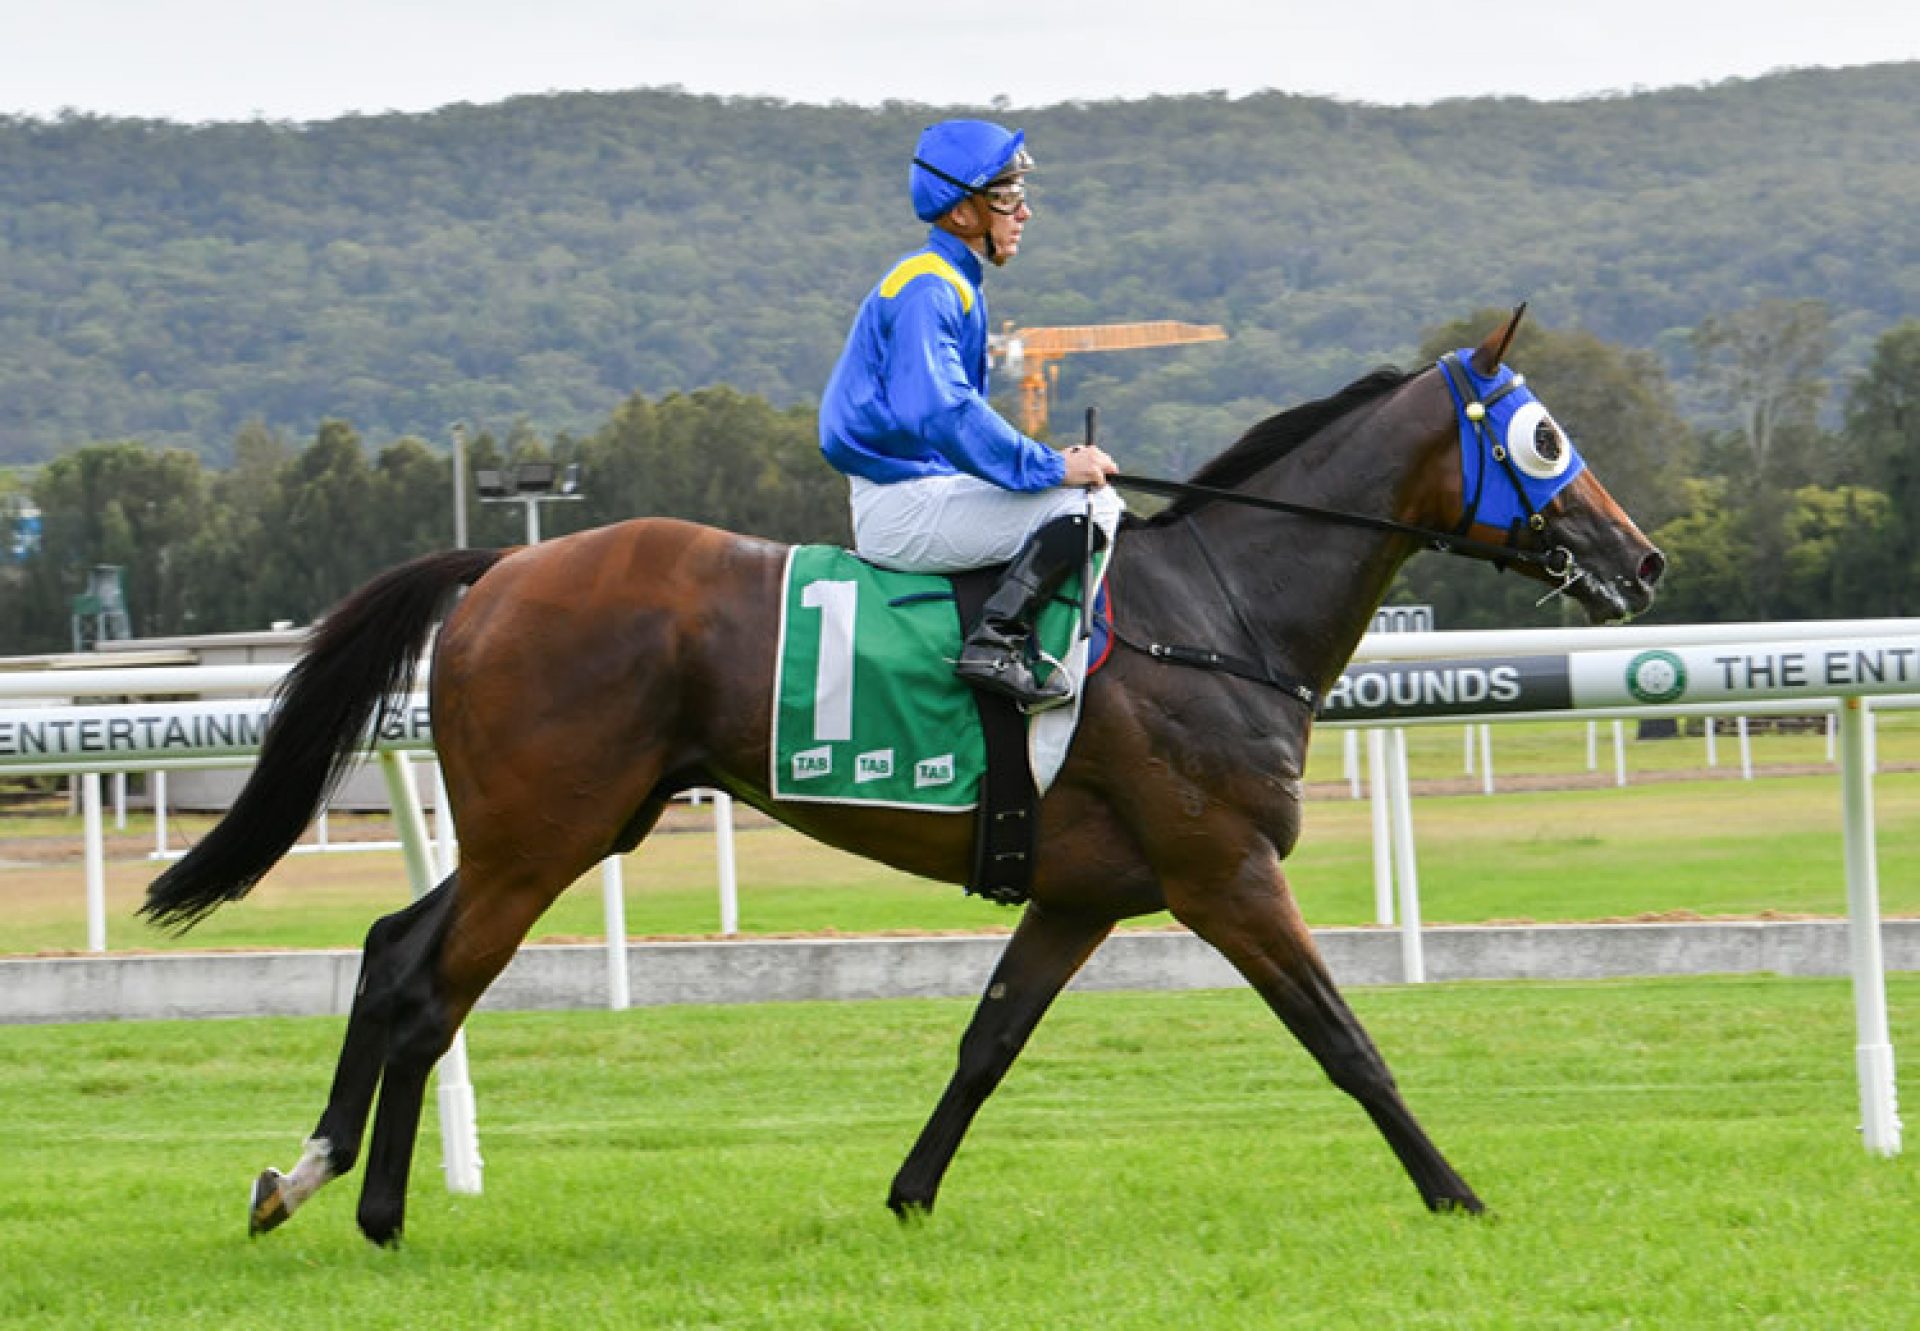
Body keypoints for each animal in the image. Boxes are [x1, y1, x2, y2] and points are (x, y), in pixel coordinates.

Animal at [145, 305, 1666, 1244]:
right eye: (1544, 438)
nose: (1643, 558)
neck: (1216, 610)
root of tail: (501, 566)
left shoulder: (1081, 892)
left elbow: (988, 1042)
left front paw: (908, 1195)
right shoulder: (1222, 871)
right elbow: (1345, 1038)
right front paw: (1458, 1191)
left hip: (562, 821)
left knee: (392, 944)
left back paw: (310, 1174)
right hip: (545, 834)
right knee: (427, 986)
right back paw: (370, 1204)